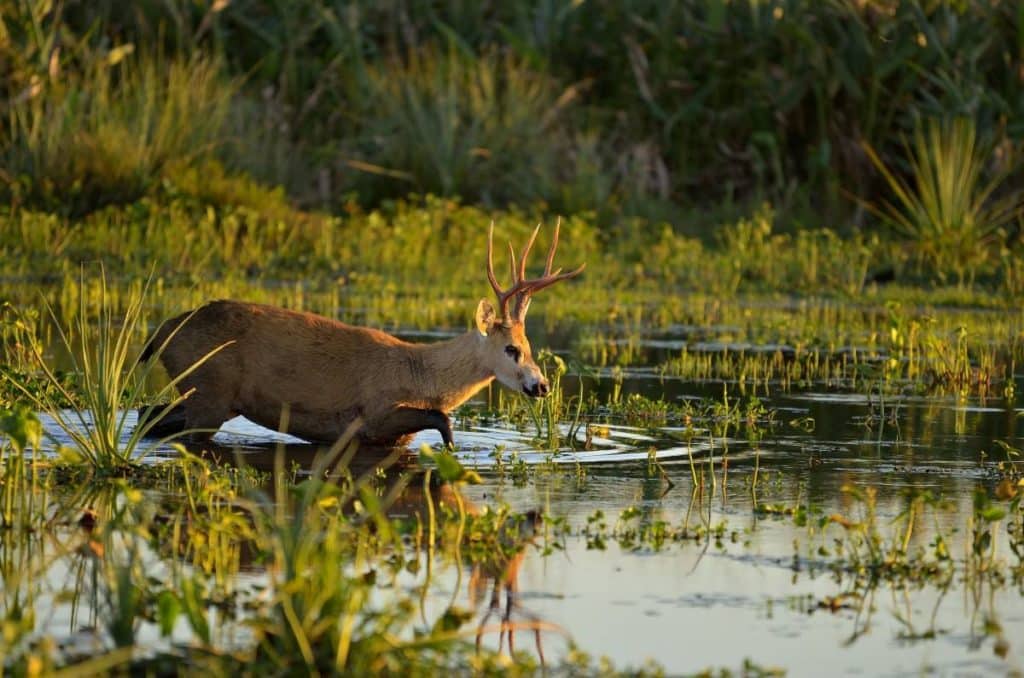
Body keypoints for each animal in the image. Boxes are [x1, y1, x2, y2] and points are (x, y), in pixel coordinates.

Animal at [140, 222, 585, 446]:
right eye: (511, 349)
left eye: (530, 347)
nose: (542, 386)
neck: (421, 373)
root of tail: (161, 332)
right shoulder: (373, 414)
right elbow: (443, 419)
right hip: (209, 389)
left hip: (210, 395)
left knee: (148, 417)